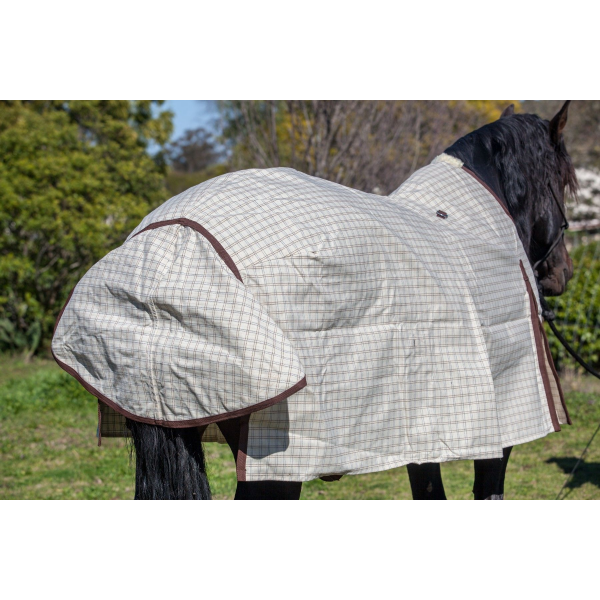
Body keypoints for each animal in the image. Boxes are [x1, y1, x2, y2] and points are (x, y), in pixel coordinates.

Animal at [51, 101, 577, 500]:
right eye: (567, 182)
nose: (562, 274)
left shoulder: (427, 431)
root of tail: (168, 249)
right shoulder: (506, 420)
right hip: (275, 460)